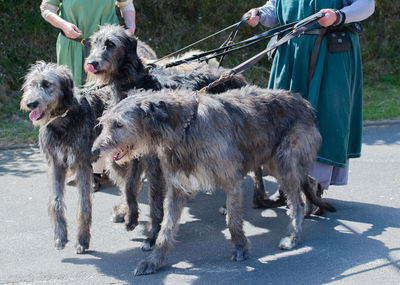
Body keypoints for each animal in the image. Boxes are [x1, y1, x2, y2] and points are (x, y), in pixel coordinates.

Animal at [20, 61, 103, 253]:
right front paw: (60, 236)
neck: (62, 121)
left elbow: (83, 205)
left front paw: (82, 240)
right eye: (32, 84)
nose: (30, 103)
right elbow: (55, 201)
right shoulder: (55, 163)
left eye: (47, 84)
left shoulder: (82, 164)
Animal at [92, 85, 336, 274]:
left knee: (296, 200)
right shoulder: (178, 187)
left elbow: (233, 221)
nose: (94, 150)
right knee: (307, 181)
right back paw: (311, 208)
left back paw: (293, 235)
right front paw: (154, 261)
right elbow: (166, 228)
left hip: (285, 161)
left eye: (119, 124)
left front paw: (240, 248)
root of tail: (306, 105)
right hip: (274, 163)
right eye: (104, 122)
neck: (185, 127)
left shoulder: (232, 179)